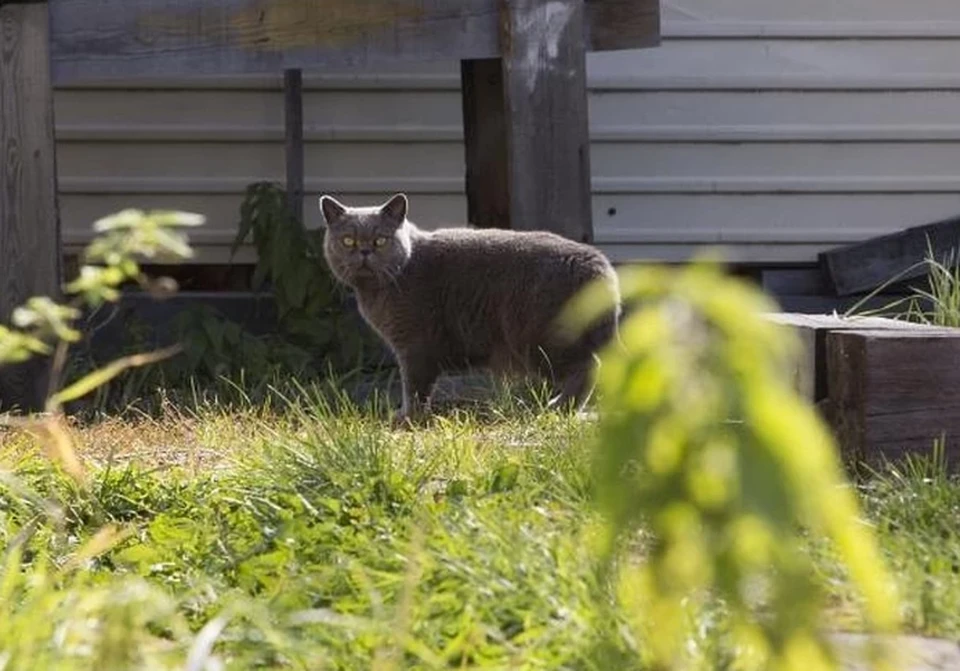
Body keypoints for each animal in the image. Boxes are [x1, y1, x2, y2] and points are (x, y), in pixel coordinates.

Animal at [320, 193, 624, 420]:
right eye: (347, 240)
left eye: (381, 240)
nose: (364, 251)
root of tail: (598, 262)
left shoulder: (414, 345)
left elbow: (414, 386)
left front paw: (407, 418)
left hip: (542, 338)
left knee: (589, 365)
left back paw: (559, 408)